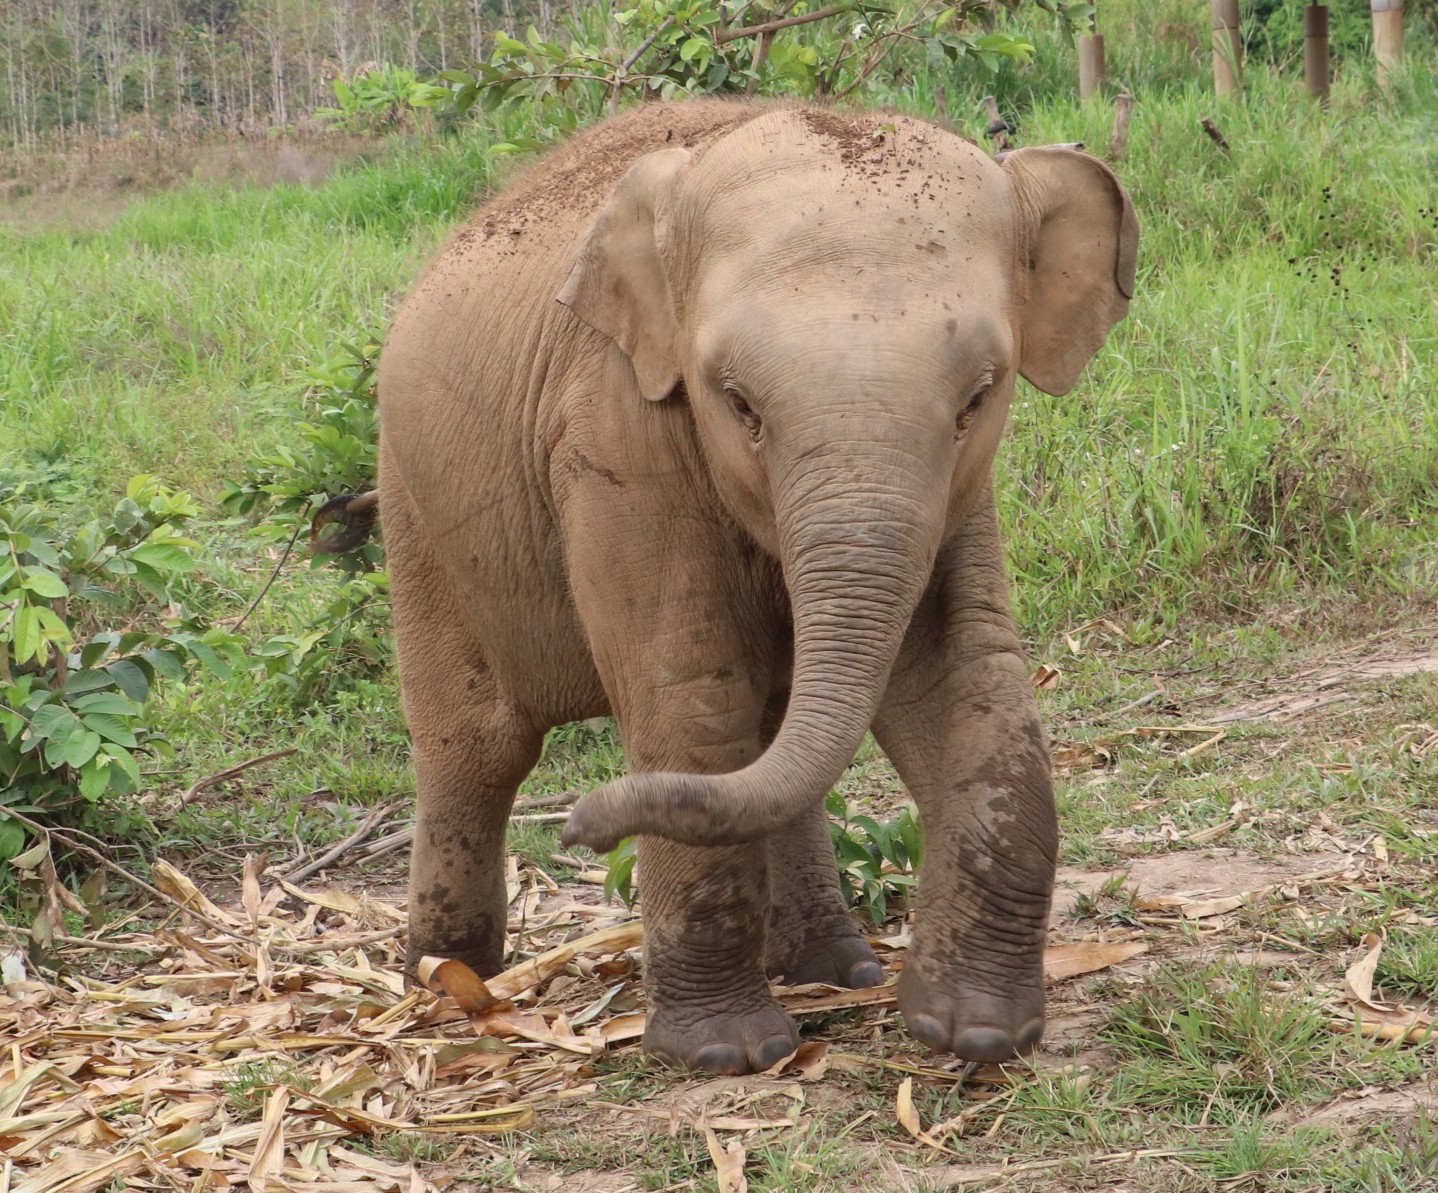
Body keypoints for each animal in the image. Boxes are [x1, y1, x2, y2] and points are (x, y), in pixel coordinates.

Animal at [375, 99, 1137, 1076]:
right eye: (738, 403)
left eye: (978, 397)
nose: (581, 827)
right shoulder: (611, 431)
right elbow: (692, 696)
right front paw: (725, 1054)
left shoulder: (954, 494)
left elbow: (964, 679)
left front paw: (972, 1032)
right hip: (415, 512)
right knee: (478, 744)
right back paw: (447, 979)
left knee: (773, 731)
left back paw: (834, 968)